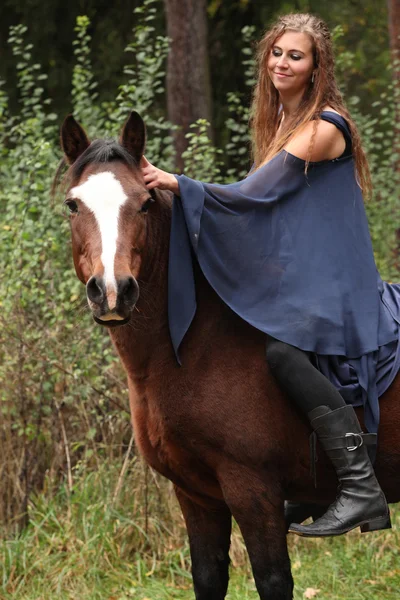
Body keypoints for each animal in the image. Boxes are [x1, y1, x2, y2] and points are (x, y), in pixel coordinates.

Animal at [56, 112, 400, 600]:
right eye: (73, 205)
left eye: (144, 203)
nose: (112, 291)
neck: (191, 349)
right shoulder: (196, 495)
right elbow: (208, 576)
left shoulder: (252, 492)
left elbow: (272, 580)